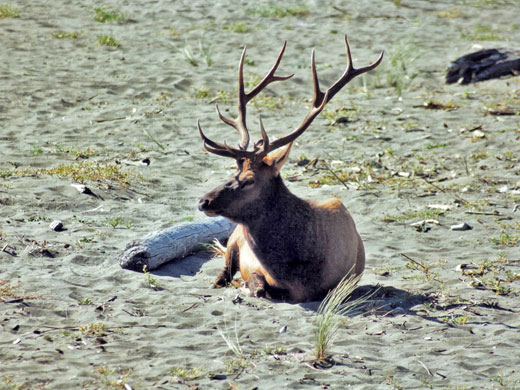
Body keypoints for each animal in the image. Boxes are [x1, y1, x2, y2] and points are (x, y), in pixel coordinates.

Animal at [195, 35, 382, 304]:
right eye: (233, 172)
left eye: (249, 180)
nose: (204, 201)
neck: (298, 275)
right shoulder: (254, 266)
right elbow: (257, 285)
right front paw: (247, 285)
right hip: (233, 240)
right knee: (223, 272)